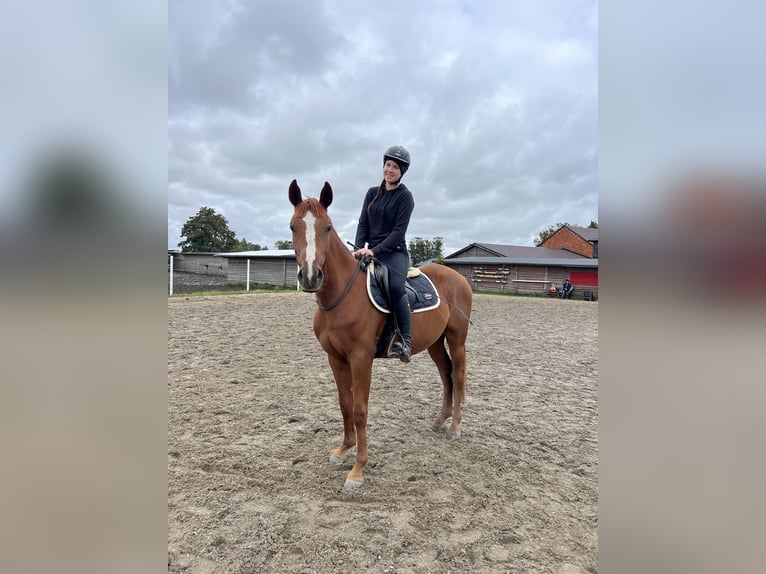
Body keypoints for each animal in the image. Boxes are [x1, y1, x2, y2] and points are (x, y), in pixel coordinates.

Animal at [288, 179, 473, 489]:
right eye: (293, 227)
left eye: (327, 227)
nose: (311, 276)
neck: (342, 295)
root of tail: (458, 277)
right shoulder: (335, 358)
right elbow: (345, 404)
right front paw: (342, 450)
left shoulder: (361, 358)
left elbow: (360, 409)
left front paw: (357, 469)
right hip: (435, 343)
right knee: (446, 374)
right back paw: (440, 421)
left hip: (457, 339)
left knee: (458, 376)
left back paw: (455, 427)